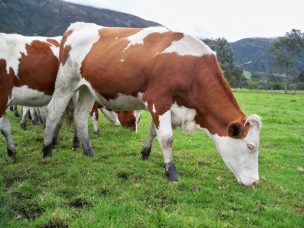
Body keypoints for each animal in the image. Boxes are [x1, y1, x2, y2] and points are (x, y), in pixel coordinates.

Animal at [42, 22, 262, 187]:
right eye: (250, 146)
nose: (255, 182)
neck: (192, 71)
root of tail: (77, 26)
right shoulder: (159, 99)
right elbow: (166, 137)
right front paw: (171, 171)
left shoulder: (167, 107)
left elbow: (153, 132)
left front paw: (145, 153)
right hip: (65, 83)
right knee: (54, 113)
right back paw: (46, 150)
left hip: (87, 89)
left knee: (80, 117)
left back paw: (88, 151)